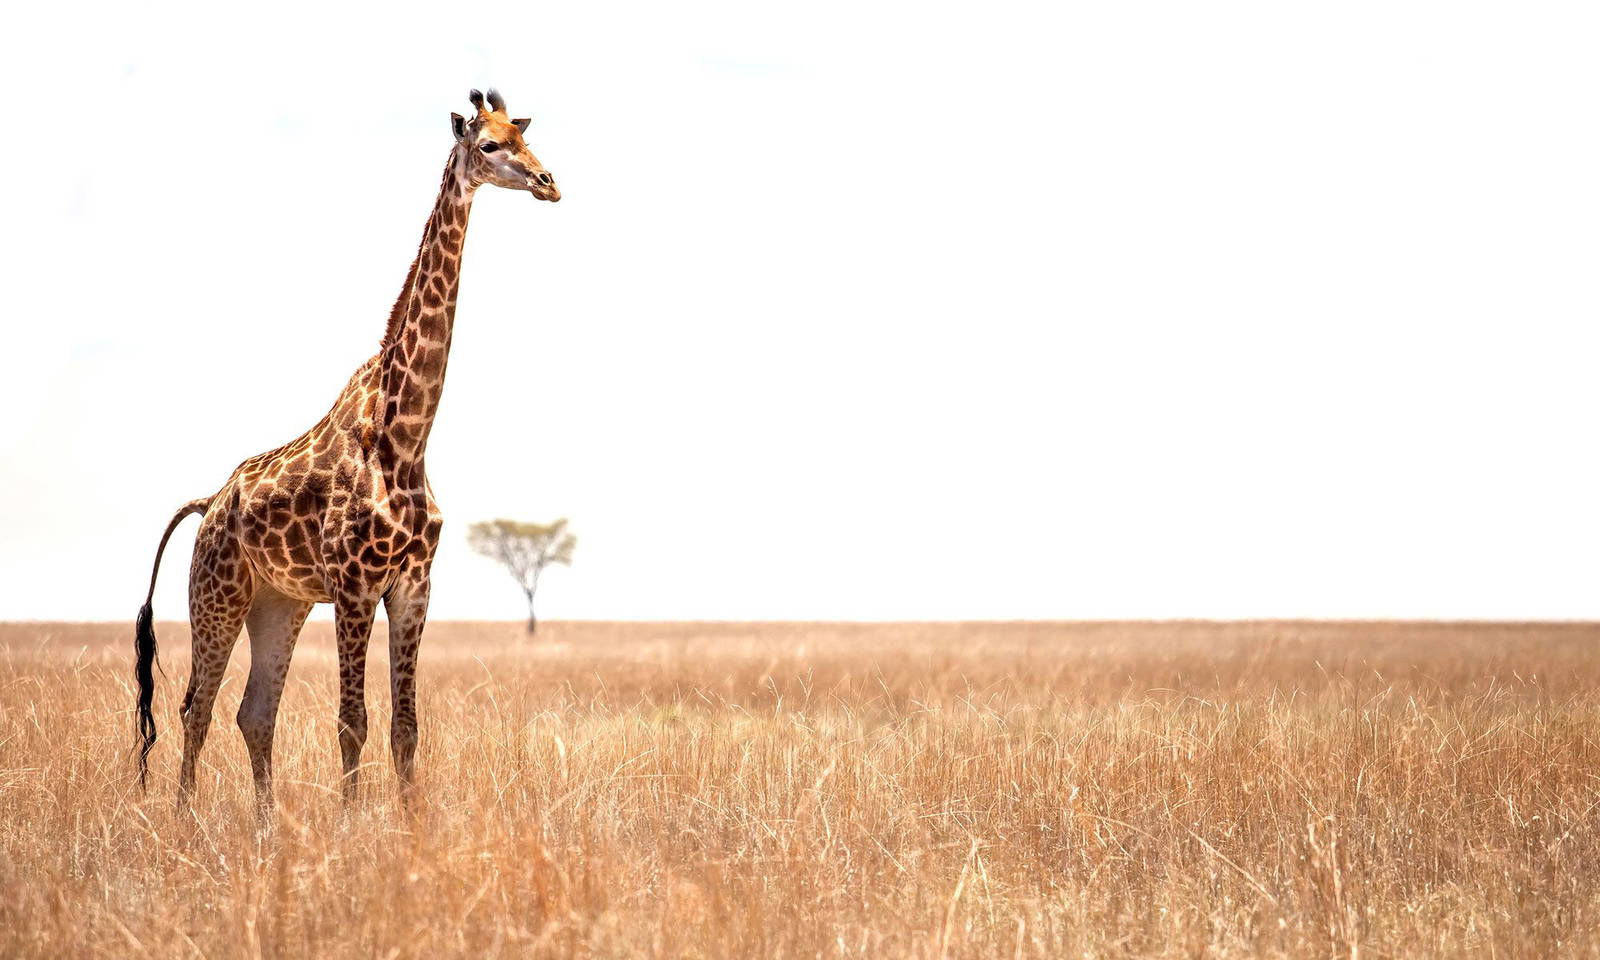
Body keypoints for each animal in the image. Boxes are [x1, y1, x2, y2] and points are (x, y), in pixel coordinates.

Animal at [132, 89, 559, 812]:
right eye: (490, 145)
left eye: (524, 137)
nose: (548, 182)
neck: (407, 437)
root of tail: (209, 503)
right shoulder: (356, 584)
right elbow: (350, 721)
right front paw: (352, 827)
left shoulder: (413, 584)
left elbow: (405, 726)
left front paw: (411, 829)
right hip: (217, 592)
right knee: (196, 707)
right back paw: (185, 822)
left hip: (280, 603)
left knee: (254, 712)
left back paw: (267, 827)